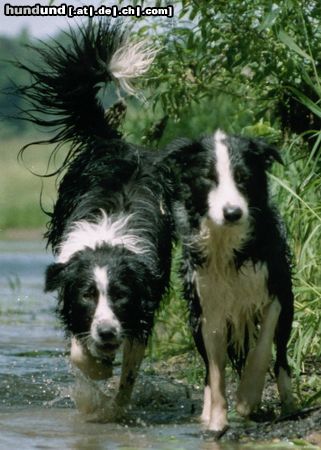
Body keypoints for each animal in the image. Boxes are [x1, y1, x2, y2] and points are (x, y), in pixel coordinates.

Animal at [17, 20, 175, 422]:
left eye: (120, 294)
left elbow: (129, 370)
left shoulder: (142, 308)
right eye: (88, 294)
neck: (106, 239)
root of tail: (115, 142)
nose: (105, 333)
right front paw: (95, 374)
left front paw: (113, 409)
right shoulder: (71, 299)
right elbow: (80, 353)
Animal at [165, 130, 296, 436]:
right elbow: (215, 371)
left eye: (243, 177)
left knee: (281, 356)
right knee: (206, 369)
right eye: (209, 178)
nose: (233, 212)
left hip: (288, 307)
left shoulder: (275, 289)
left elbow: (261, 349)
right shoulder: (208, 308)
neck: (227, 243)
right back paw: (205, 413)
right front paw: (217, 421)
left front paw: (247, 398)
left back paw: (289, 402)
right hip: (193, 320)